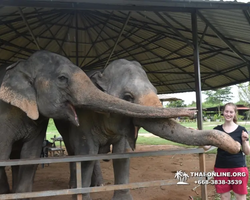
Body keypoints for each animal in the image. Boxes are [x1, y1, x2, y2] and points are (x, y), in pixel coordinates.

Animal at [54, 59, 240, 200]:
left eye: (156, 91)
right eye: (128, 97)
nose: (238, 145)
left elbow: (122, 154)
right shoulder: (83, 118)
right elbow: (86, 154)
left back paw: (99, 184)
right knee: (74, 152)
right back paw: (74, 185)